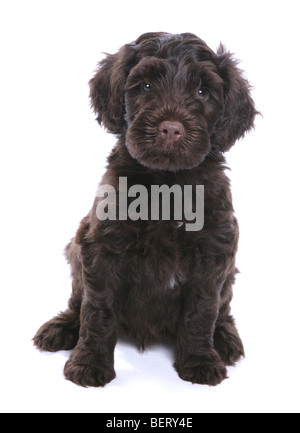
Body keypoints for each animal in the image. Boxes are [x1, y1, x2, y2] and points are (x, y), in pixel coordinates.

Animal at [33, 32, 258, 386]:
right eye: (147, 86)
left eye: (202, 92)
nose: (171, 128)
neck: (166, 183)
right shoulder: (101, 246)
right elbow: (97, 311)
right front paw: (89, 363)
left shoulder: (213, 252)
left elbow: (202, 310)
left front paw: (199, 360)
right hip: (76, 249)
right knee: (77, 302)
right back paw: (62, 328)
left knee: (222, 311)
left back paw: (224, 339)